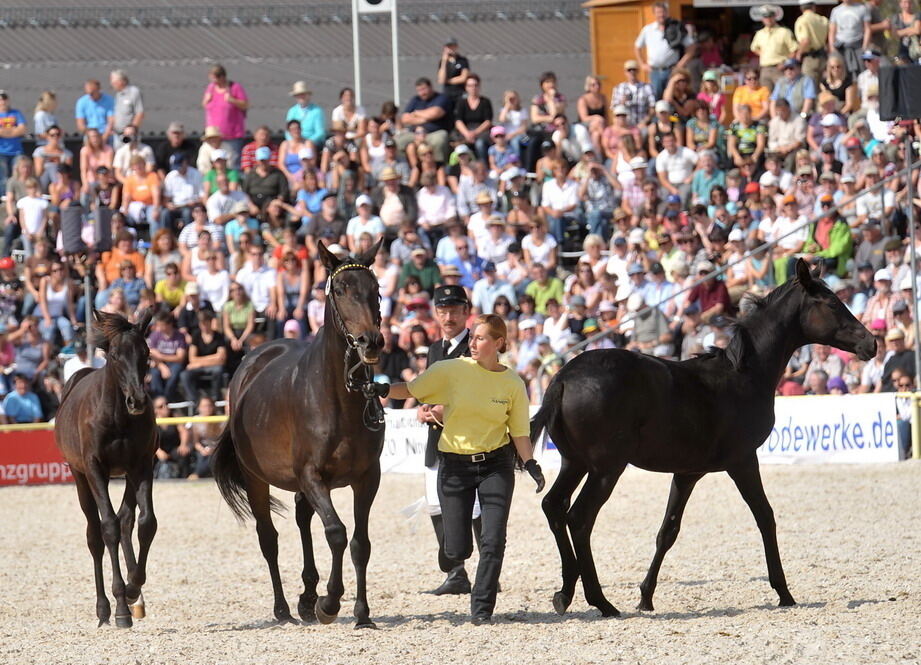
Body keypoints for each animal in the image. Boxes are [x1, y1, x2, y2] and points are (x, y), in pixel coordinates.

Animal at [54, 308, 155, 628]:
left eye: (146, 353)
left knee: (126, 519)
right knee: (95, 535)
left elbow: (146, 522)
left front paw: (134, 588)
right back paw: (104, 609)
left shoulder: (142, 464)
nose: (137, 400)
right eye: (114, 356)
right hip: (80, 478)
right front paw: (121, 606)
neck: (117, 414)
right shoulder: (94, 468)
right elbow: (107, 526)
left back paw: (135, 597)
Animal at [214, 240, 386, 628]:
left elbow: (361, 543)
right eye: (340, 290)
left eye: (376, 289)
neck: (338, 397)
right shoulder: (311, 476)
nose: (370, 342)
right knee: (269, 538)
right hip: (255, 478)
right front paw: (330, 602)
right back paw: (284, 609)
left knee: (303, 518)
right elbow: (336, 533)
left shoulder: (368, 478)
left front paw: (362, 613)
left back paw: (307, 596)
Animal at [528, 260, 872, 616]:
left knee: (553, 506)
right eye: (831, 304)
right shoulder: (743, 461)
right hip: (606, 468)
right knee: (578, 519)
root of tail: (564, 377)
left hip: (575, 463)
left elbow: (668, 530)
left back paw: (565, 592)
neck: (743, 375)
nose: (870, 343)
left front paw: (646, 597)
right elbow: (765, 517)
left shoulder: (687, 473)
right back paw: (601, 601)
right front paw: (784, 592)